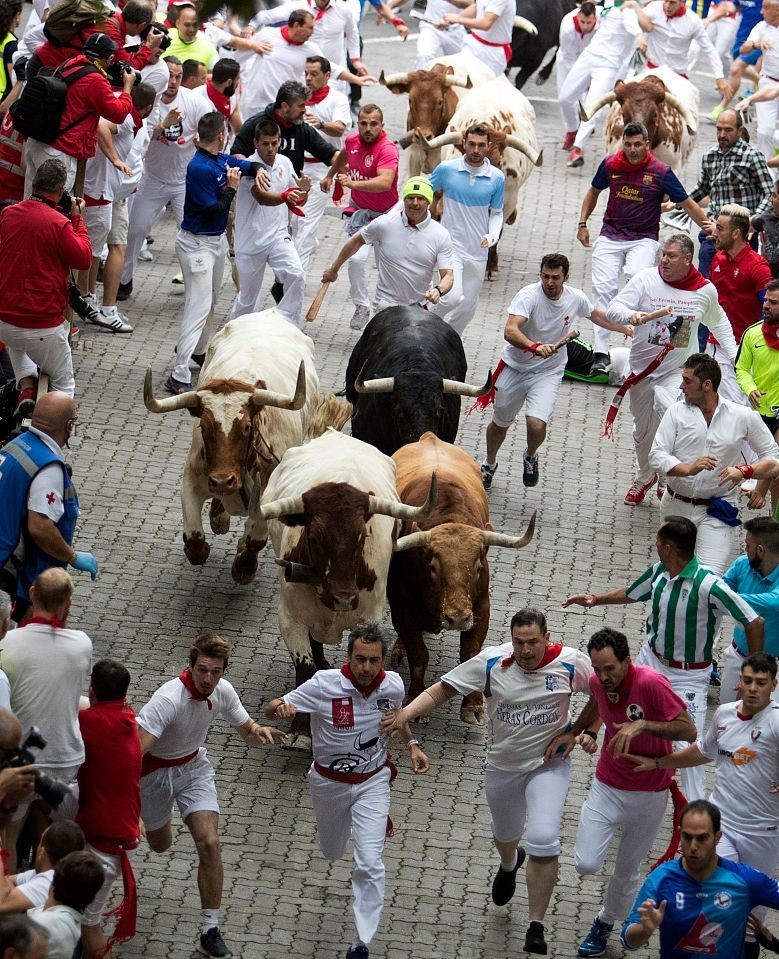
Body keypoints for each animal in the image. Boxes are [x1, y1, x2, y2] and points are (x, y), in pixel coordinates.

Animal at [142, 316, 348, 584]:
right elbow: (195, 542)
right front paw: (210, 533)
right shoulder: (193, 478)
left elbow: (254, 539)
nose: (222, 481)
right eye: (204, 427)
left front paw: (244, 566)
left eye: (247, 426)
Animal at [258, 432, 436, 752]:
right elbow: (305, 672)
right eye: (314, 537)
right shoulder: (290, 618)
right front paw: (301, 730)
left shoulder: (370, 618)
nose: (343, 598)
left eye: (361, 536)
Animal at [390, 432, 536, 724]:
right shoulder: (401, 605)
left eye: (478, 564)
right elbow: (418, 653)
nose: (457, 618)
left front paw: (473, 705)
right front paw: (416, 699)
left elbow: (470, 654)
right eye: (433, 566)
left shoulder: (480, 606)